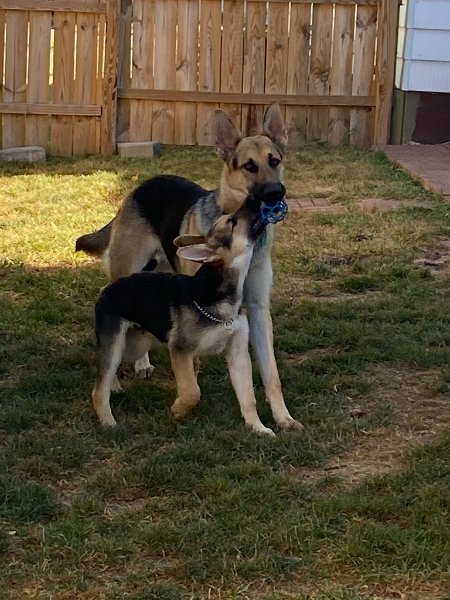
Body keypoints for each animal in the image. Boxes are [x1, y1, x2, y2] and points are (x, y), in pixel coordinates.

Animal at [76, 103, 302, 432]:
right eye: (249, 166)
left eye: (275, 161)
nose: (275, 193)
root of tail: (141, 186)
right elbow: (190, 369)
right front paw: (186, 400)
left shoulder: (258, 310)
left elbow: (271, 373)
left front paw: (282, 417)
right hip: (125, 274)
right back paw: (122, 379)